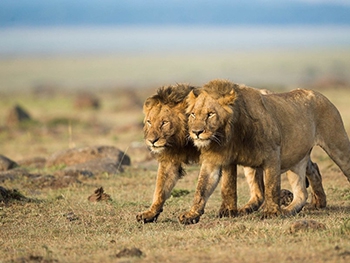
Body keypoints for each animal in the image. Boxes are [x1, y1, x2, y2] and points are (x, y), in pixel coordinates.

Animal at [180, 79, 350, 224]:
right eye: (193, 114)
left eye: (210, 114)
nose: (196, 132)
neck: (227, 136)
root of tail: (318, 94)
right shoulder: (216, 159)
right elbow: (208, 187)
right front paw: (194, 214)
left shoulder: (273, 154)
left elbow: (271, 185)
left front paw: (271, 212)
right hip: (293, 157)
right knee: (300, 189)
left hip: (337, 145)